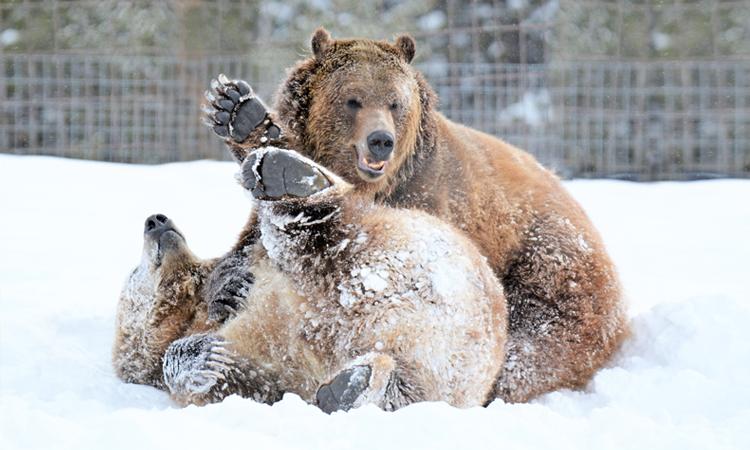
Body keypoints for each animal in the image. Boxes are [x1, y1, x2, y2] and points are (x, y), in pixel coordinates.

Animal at [113, 147, 507, 412]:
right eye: (133, 272)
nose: (156, 220)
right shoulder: (264, 374)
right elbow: (237, 379)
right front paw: (204, 351)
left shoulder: (254, 265)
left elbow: (244, 257)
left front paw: (229, 289)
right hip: (434, 368)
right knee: (408, 391)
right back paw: (352, 387)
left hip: (384, 245)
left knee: (319, 235)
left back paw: (284, 174)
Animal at [201, 28, 629, 403]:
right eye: (352, 99)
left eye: (394, 102)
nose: (381, 140)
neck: (377, 185)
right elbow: (245, 251)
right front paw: (237, 110)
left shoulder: (430, 203)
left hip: (550, 275)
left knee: (526, 352)